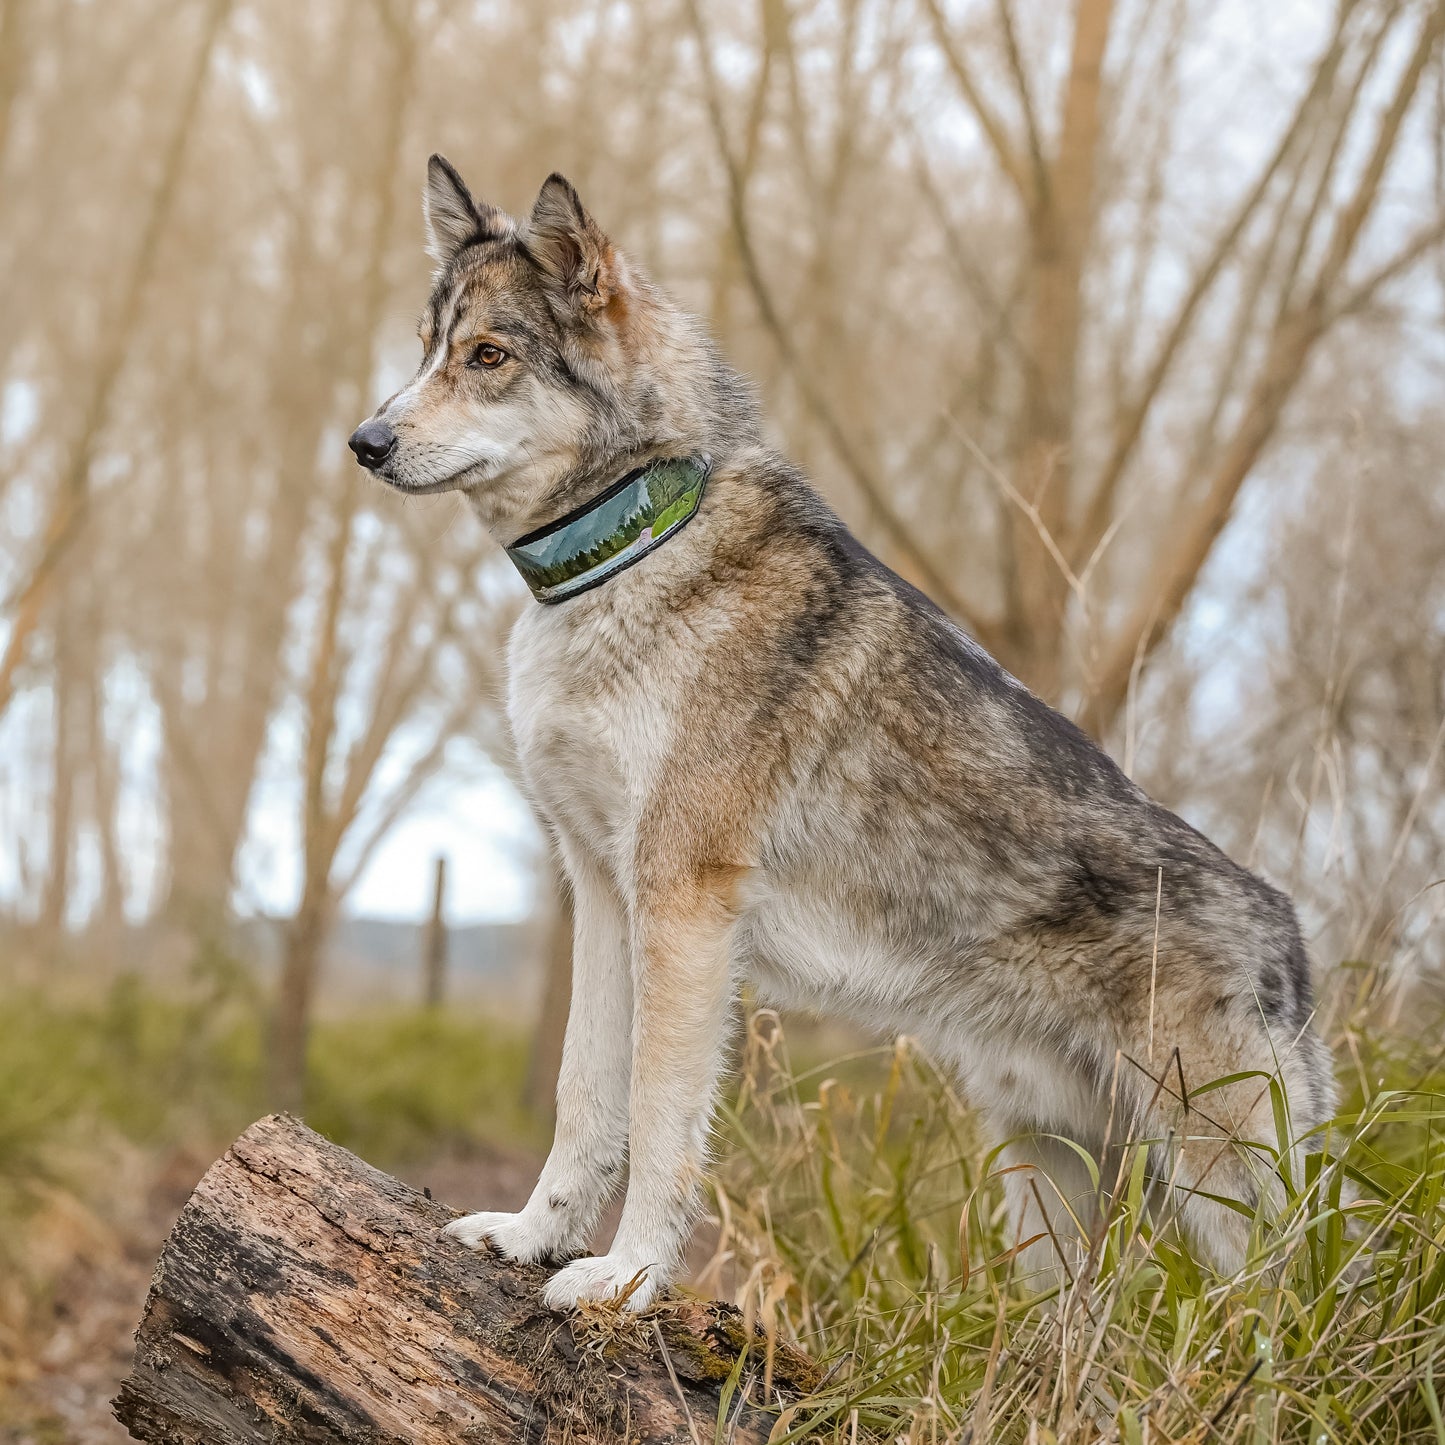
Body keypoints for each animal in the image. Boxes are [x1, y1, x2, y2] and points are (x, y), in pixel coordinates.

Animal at [348, 156, 1335, 1312]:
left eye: (488, 356)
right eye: (427, 348)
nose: (364, 442)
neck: (633, 546)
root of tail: (1292, 940)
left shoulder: (682, 905)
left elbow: (659, 1117)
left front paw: (626, 1277)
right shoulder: (600, 889)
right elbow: (582, 1094)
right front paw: (530, 1235)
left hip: (1226, 1213)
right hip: (1048, 1190)